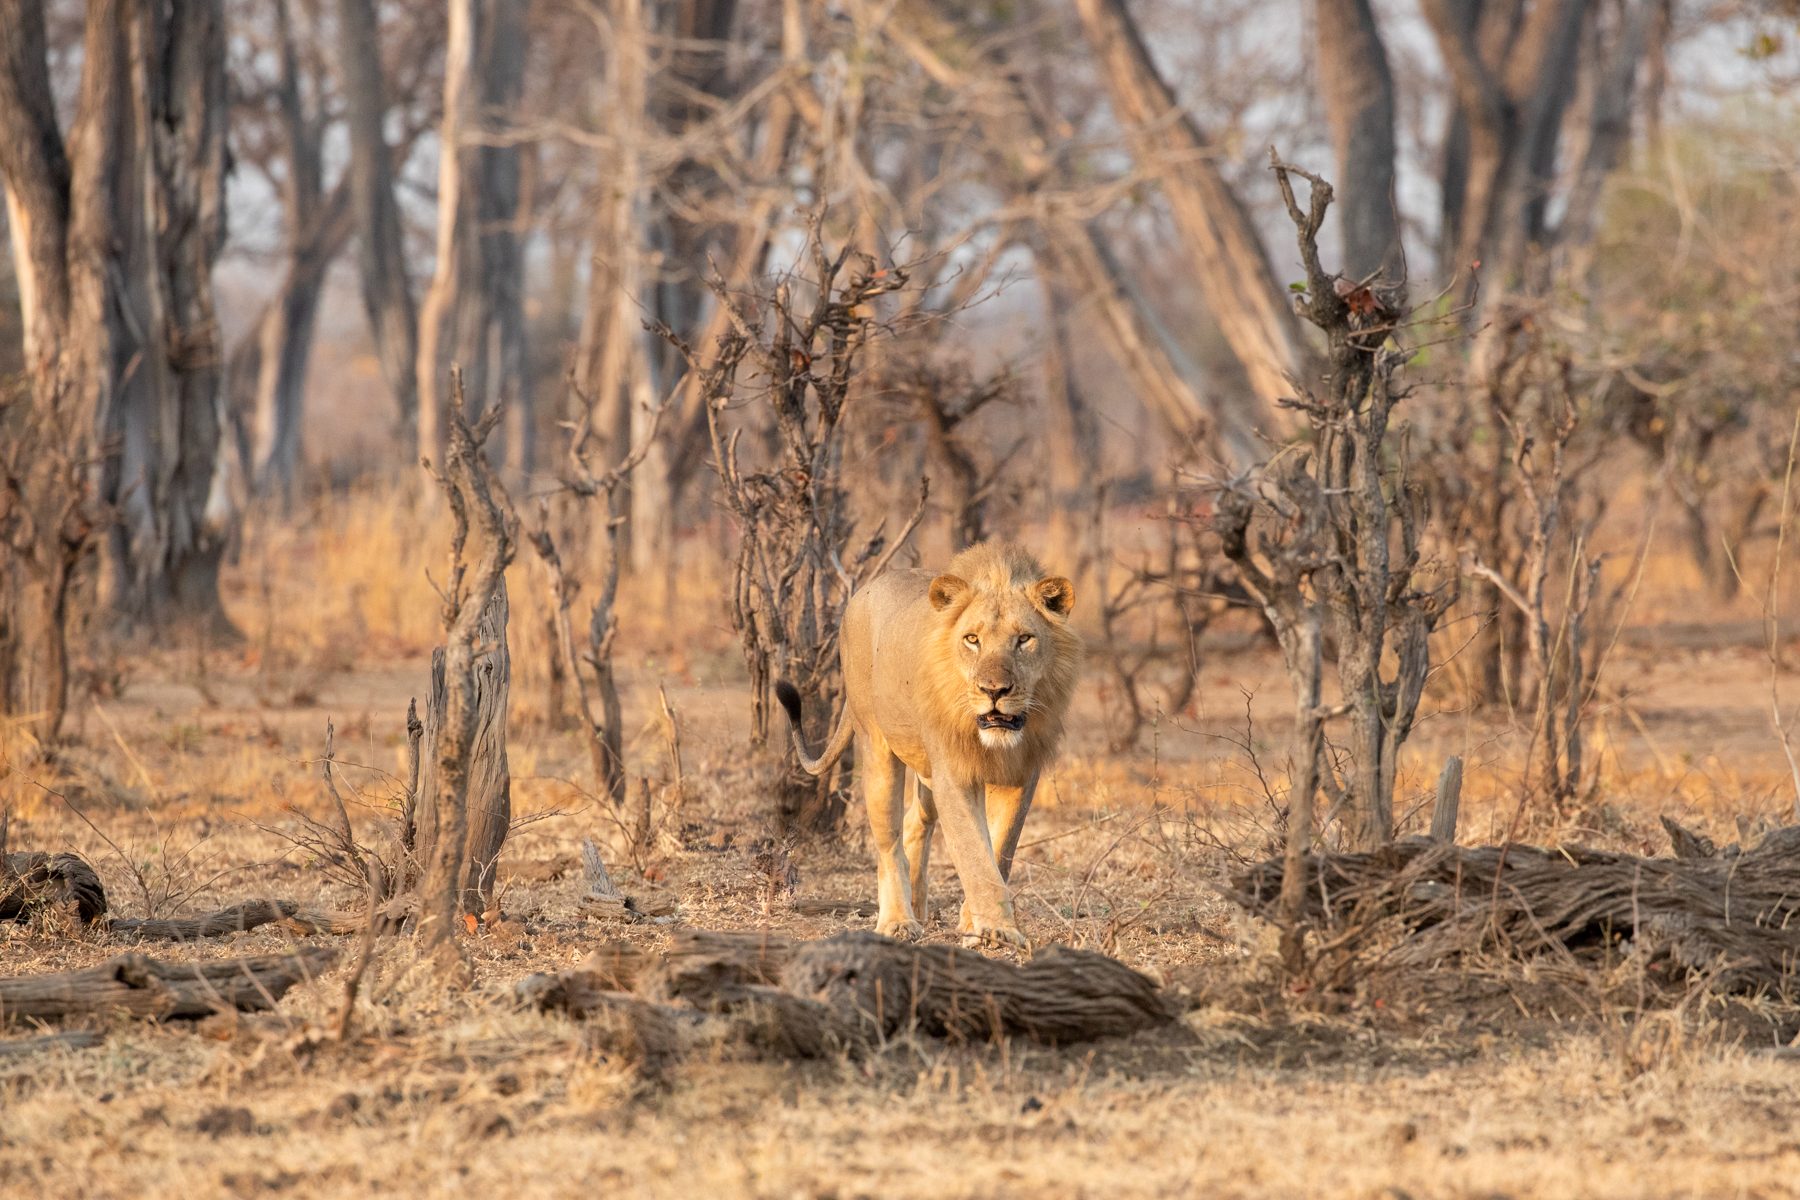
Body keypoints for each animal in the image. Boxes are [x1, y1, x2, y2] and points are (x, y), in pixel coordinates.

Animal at [776, 540, 1082, 947]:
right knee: (888, 842)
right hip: (877, 749)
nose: (994, 691)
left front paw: (974, 923)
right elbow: (974, 853)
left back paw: (918, 908)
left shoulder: (1022, 775)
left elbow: (1001, 848)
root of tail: (862, 592)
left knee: (915, 823)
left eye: (1024, 639)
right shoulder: (953, 773)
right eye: (972, 639)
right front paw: (996, 930)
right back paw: (898, 921)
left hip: (925, 771)